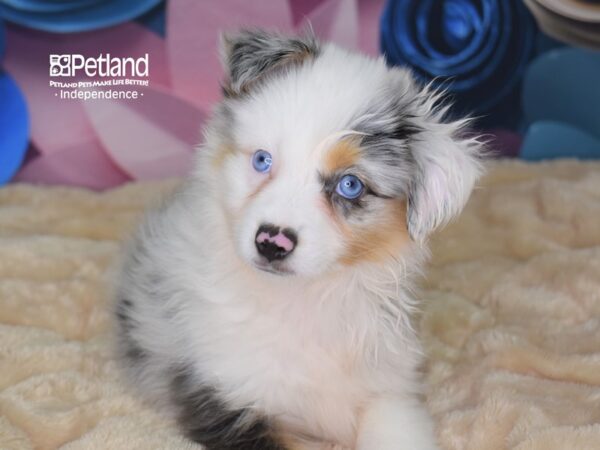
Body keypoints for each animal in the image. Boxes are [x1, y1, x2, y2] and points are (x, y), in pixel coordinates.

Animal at [115, 29, 486, 448]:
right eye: (262, 160)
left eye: (350, 185)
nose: (272, 242)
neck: (303, 297)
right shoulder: (228, 394)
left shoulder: (390, 391)